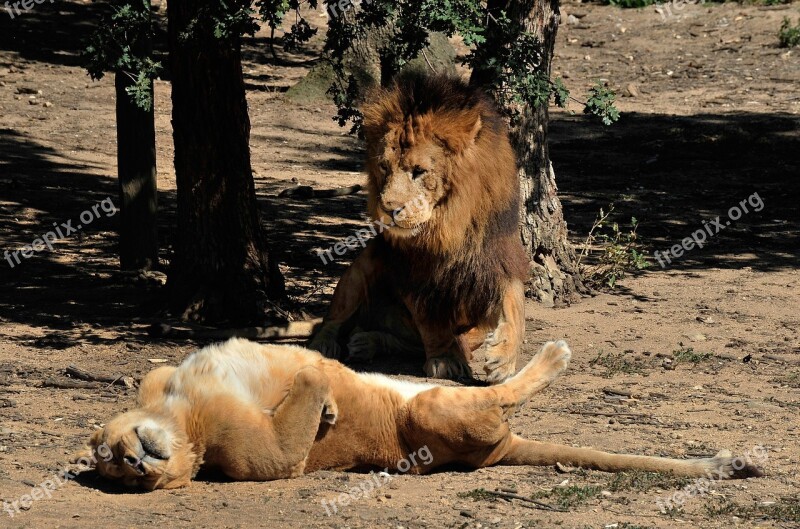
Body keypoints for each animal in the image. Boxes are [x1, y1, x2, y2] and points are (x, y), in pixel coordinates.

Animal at [310, 72, 528, 382]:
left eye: (419, 171)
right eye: (384, 167)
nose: (389, 208)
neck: (449, 226)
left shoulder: (496, 256)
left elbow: (515, 305)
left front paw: (504, 359)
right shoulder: (416, 275)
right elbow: (432, 323)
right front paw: (446, 358)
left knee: (407, 342)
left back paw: (366, 342)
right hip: (360, 269)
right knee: (332, 320)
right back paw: (326, 344)